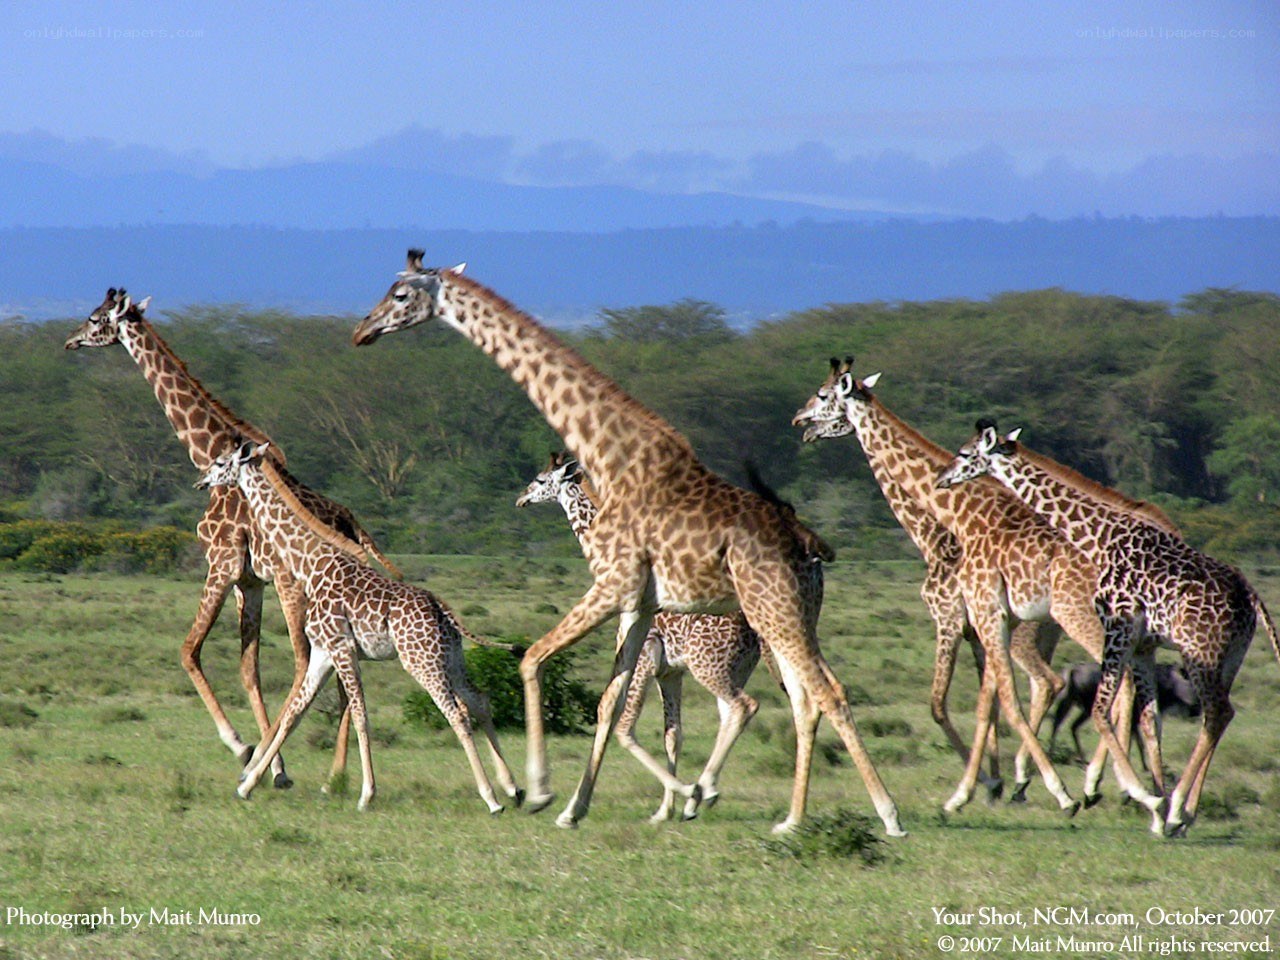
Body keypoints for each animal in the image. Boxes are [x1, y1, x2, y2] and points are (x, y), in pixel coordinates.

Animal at [65, 287, 401, 789]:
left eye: (94, 318)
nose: (70, 340)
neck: (207, 450)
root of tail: (352, 527)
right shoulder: (249, 581)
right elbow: (249, 669)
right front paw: (276, 768)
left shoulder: (221, 564)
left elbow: (189, 651)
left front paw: (246, 751)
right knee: (339, 674)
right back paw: (334, 776)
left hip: (295, 589)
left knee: (307, 663)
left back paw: (324, 774)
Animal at [196, 440, 524, 812]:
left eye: (221, 462)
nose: (202, 481)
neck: (310, 563)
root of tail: (443, 610)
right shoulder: (323, 653)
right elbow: (295, 714)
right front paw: (250, 784)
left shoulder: (342, 647)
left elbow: (360, 715)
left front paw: (366, 793)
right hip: (451, 657)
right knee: (479, 700)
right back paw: (514, 788)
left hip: (420, 661)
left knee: (457, 714)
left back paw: (491, 798)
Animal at [517, 451, 801, 821]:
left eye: (540, 479)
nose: (521, 497)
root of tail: (753, 629)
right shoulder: (670, 671)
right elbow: (673, 734)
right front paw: (665, 810)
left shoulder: (645, 658)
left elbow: (621, 724)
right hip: (735, 668)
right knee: (732, 713)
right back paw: (706, 793)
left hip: (706, 664)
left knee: (744, 706)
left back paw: (703, 792)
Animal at [792, 359, 1173, 815]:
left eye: (824, 394)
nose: (799, 421)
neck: (943, 524)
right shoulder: (983, 625)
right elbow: (985, 703)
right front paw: (989, 784)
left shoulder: (953, 615)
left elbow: (946, 704)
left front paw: (1006, 785)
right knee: (1136, 698)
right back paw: (1148, 790)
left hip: (1081, 621)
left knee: (1095, 685)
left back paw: (1104, 785)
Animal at [937, 421, 1280, 836]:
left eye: (965, 453)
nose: (942, 479)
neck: (1100, 537)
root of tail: (1251, 596)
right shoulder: (1143, 645)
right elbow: (1148, 720)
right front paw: (1155, 809)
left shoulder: (1118, 628)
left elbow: (1103, 711)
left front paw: (1146, 798)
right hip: (1230, 658)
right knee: (1218, 717)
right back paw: (1182, 813)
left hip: (1201, 652)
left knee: (1216, 713)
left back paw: (1180, 810)